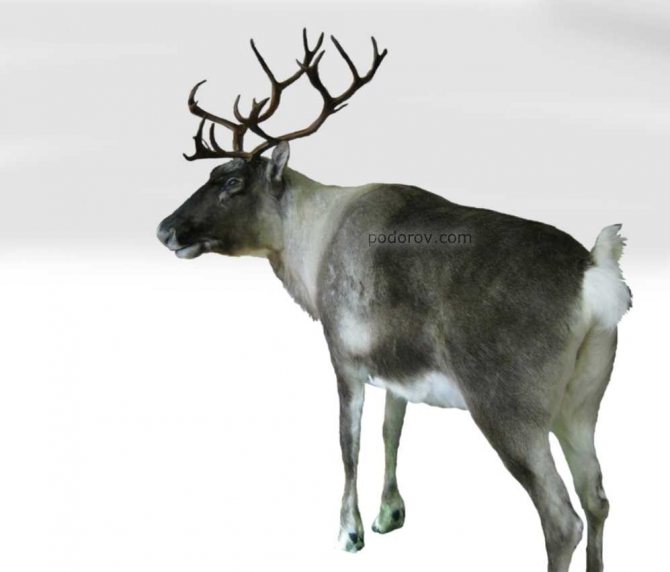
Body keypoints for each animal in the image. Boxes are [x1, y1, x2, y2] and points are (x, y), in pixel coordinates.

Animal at [157, 30, 631, 572]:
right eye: (212, 174)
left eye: (233, 182)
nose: (165, 229)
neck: (312, 244)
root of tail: (594, 272)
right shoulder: (398, 373)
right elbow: (391, 430)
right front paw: (390, 515)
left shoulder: (342, 355)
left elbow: (349, 440)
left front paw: (350, 532)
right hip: (581, 404)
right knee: (597, 498)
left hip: (509, 408)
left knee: (561, 518)